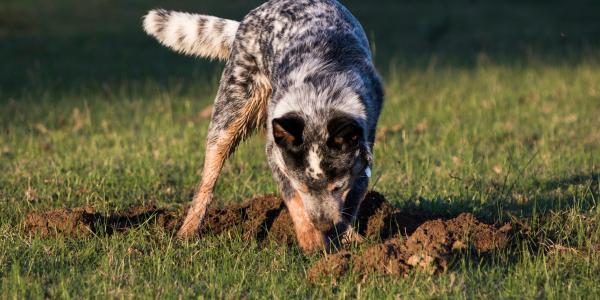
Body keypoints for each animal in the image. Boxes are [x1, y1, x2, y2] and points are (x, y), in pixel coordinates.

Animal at [143, 0, 382, 253]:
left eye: (337, 187)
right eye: (302, 187)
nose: (323, 225)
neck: (319, 95)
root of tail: (247, 19)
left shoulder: (364, 154)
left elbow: (351, 202)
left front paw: (344, 241)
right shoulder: (276, 154)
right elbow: (294, 200)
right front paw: (312, 242)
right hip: (230, 114)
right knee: (207, 182)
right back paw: (187, 232)